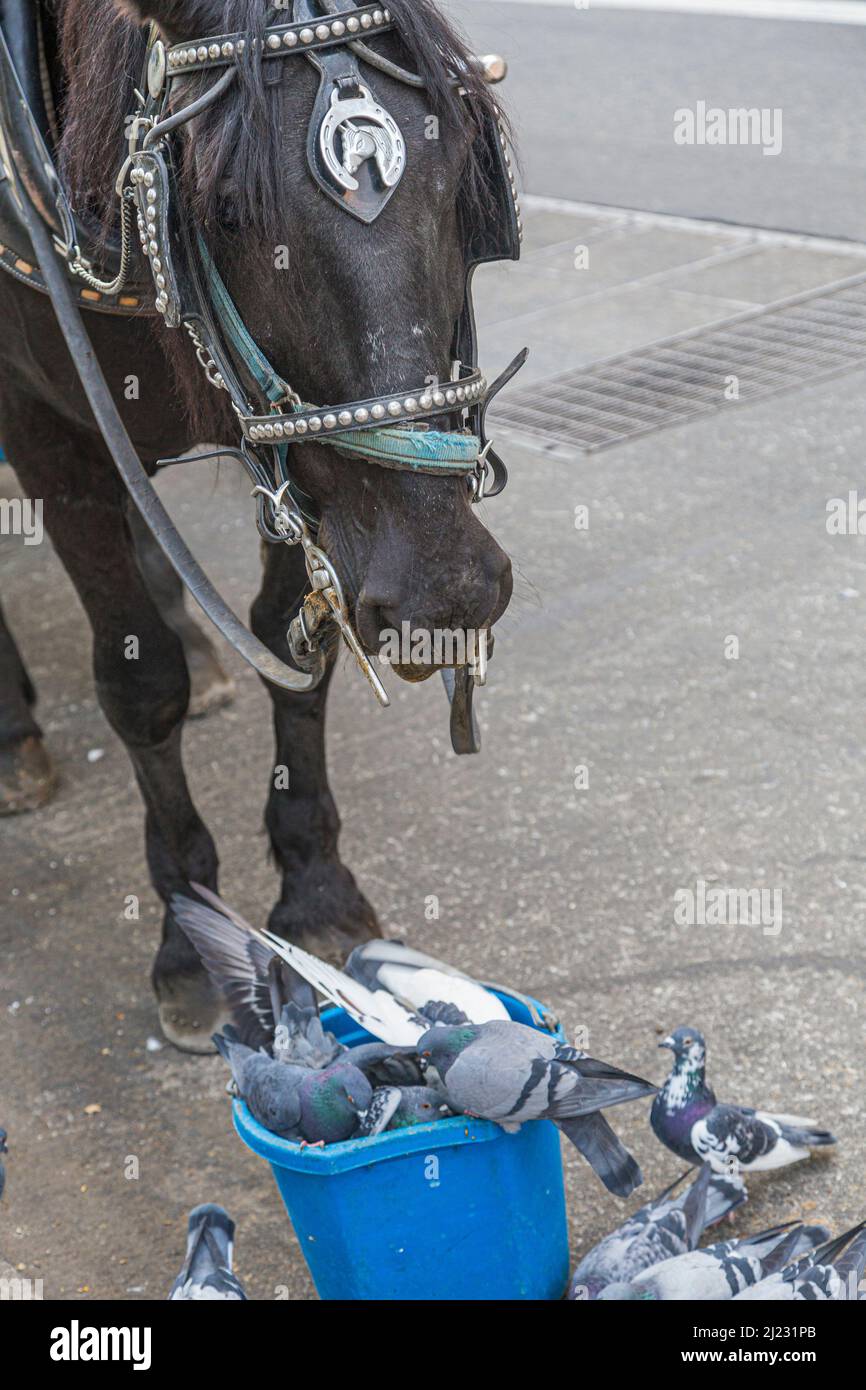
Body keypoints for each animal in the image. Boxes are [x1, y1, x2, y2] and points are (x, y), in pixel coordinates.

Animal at [0, 0, 518, 1050]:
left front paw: (316, 895)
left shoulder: (301, 465)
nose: (449, 589)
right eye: (231, 212)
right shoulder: (44, 429)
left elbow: (296, 652)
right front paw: (189, 933)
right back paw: (14, 735)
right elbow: (135, 682)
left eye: (456, 174)